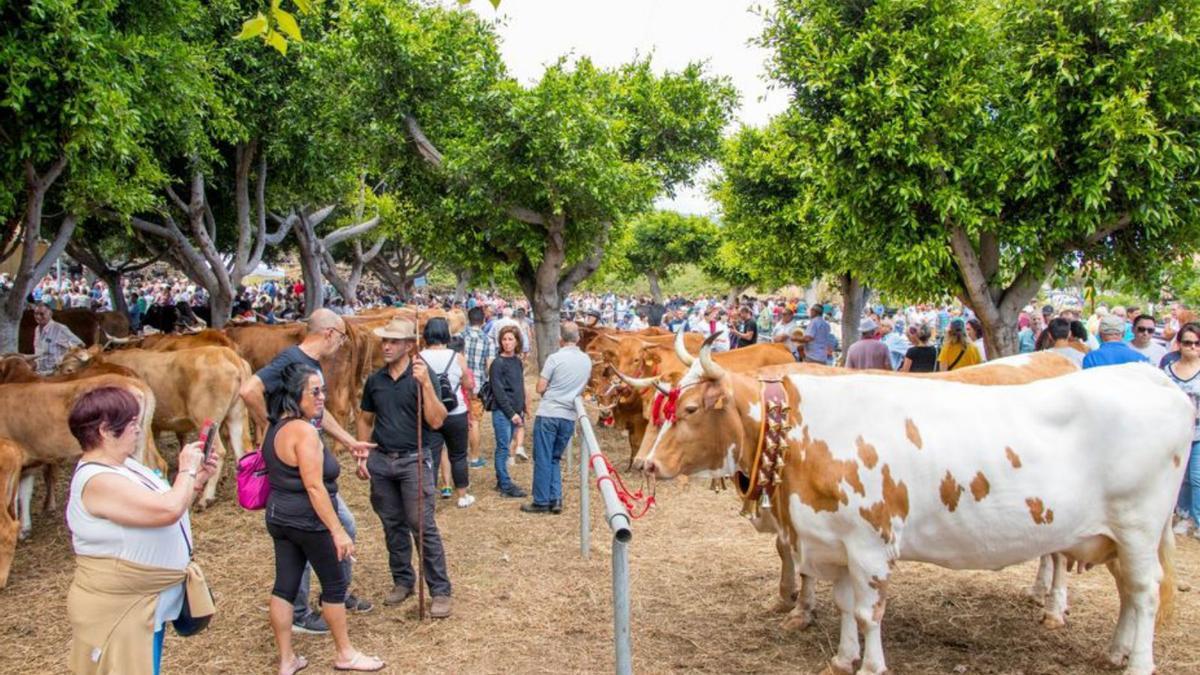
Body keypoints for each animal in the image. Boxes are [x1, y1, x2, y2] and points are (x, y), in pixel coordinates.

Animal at [643, 341, 1185, 672]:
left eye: (688, 409)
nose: (648, 463)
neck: (804, 430)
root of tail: (1145, 376)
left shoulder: (870, 544)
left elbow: (869, 612)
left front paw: (871, 664)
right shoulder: (832, 540)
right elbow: (845, 605)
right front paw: (842, 658)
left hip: (1137, 526)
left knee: (1144, 593)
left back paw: (1136, 661)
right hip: (1113, 534)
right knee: (1128, 592)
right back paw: (1115, 651)